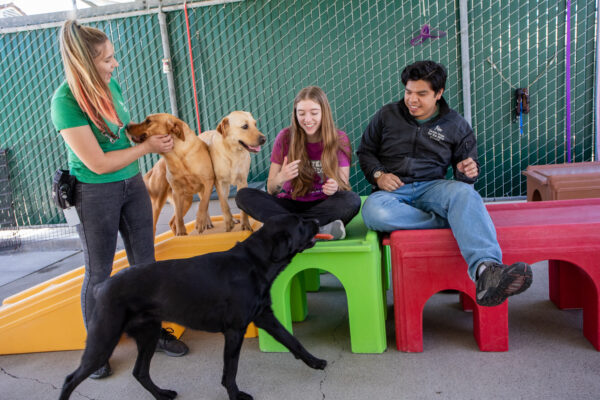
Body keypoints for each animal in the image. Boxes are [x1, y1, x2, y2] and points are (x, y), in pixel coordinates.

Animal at [58, 216, 326, 400]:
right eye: (300, 223)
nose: (316, 220)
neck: (253, 263)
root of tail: (101, 286)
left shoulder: (264, 317)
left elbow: (293, 341)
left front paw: (315, 362)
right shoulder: (234, 331)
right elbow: (231, 369)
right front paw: (235, 395)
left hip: (149, 335)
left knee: (139, 372)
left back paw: (162, 394)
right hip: (103, 341)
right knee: (70, 379)